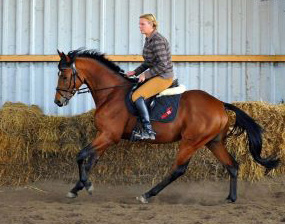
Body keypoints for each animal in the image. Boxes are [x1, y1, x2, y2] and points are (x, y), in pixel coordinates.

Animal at [53, 49, 278, 203]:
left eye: (64, 76)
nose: (58, 102)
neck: (111, 93)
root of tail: (220, 104)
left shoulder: (108, 135)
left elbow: (81, 155)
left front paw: (86, 186)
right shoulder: (104, 136)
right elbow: (90, 161)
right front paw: (77, 188)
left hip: (191, 142)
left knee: (178, 169)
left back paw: (147, 195)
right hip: (213, 142)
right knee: (232, 165)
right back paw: (231, 198)